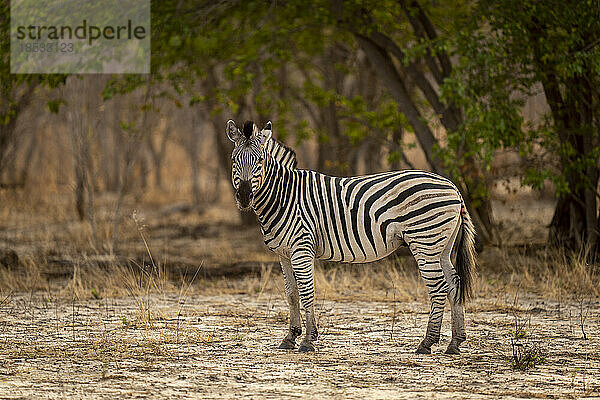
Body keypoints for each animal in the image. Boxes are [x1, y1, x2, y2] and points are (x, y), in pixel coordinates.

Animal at [227, 119, 476, 354]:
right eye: (234, 160)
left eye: (260, 161)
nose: (245, 197)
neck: (284, 196)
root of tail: (453, 186)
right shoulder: (284, 253)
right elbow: (291, 294)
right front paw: (290, 337)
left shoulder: (301, 248)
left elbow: (307, 293)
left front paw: (308, 340)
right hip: (441, 247)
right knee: (454, 284)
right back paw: (455, 343)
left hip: (425, 242)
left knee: (439, 288)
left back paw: (427, 342)